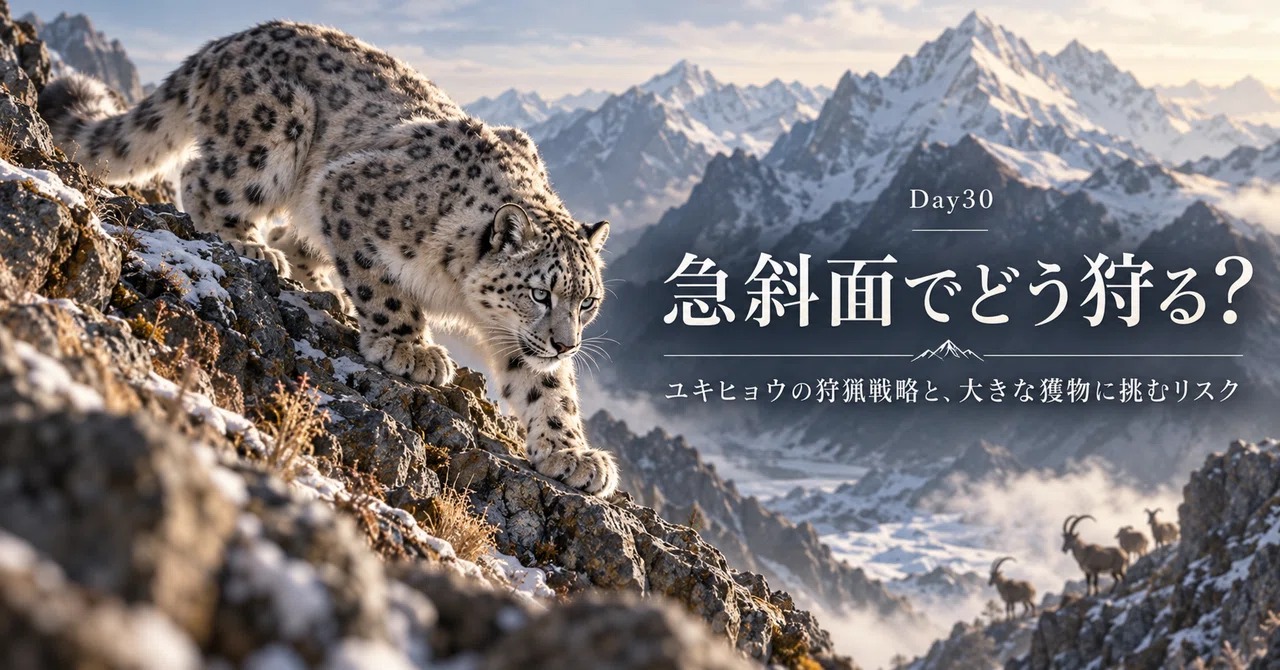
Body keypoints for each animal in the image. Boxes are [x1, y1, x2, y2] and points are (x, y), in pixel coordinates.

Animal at [38, 21, 619, 497]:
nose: (567, 344)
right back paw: (249, 243)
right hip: (276, 133)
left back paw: (319, 282)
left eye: (587, 302)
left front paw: (573, 455)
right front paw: (409, 349)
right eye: (540, 293)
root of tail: (224, 41)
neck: (462, 298)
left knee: (293, 236)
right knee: (203, 180)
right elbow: (385, 291)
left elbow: (548, 389)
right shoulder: (346, 190)